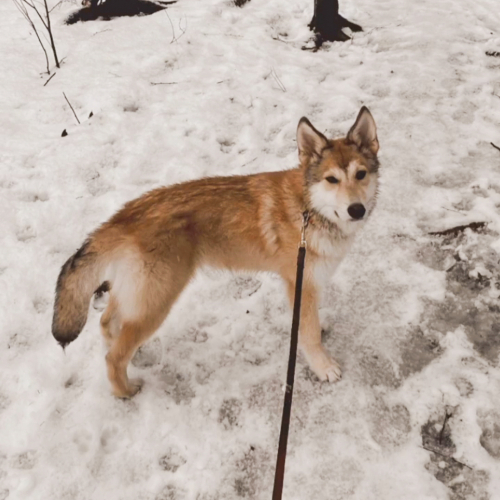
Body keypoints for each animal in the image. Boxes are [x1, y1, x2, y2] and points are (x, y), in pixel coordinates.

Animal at [51, 108, 378, 398]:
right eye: (332, 179)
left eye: (361, 174)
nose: (357, 210)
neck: (309, 208)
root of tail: (124, 215)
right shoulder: (301, 282)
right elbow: (309, 334)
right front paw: (324, 367)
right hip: (157, 298)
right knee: (114, 357)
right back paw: (125, 392)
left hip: (138, 293)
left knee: (107, 323)